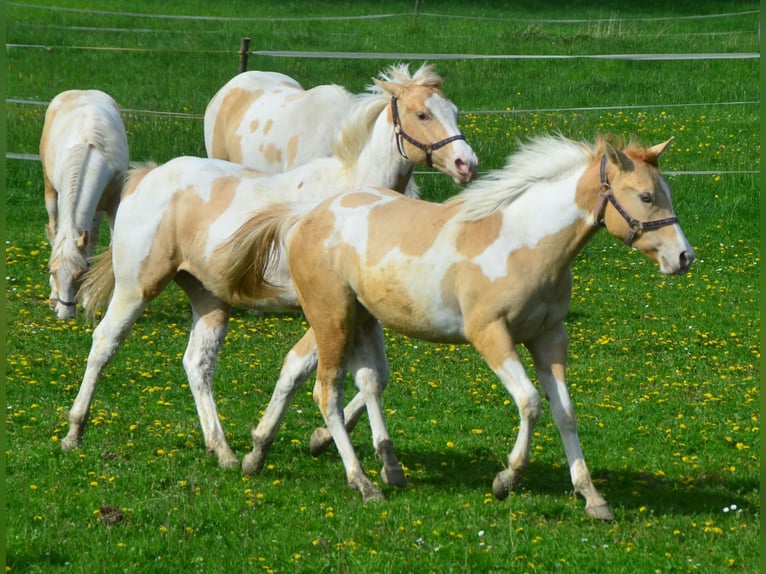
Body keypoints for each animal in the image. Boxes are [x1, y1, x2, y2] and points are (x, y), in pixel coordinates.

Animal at [40, 90, 129, 320]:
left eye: (80, 274)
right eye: (52, 271)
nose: (65, 314)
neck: (90, 150)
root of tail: (82, 91)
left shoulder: (113, 205)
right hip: (50, 190)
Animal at [63, 68, 476, 472]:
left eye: (454, 111)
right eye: (422, 114)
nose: (466, 164)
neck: (350, 199)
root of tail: (147, 176)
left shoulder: (357, 313)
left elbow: (376, 377)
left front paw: (319, 439)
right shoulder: (325, 309)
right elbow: (301, 370)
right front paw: (286, 443)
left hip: (210, 298)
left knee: (197, 364)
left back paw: (223, 451)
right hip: (136, 288)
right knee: (104, 343)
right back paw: (74, 433)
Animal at [220, 135, 696, 520]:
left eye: (666, 193)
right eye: (646, 196)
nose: (684, 257)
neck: (525, 243)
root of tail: (304, 217)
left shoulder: (549, 339)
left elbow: (565, 411)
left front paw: (592, 496)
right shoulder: (491, 336)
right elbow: (530, 403)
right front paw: (506, 479)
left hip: (354, 317)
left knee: (321, 371)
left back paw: (262, 453)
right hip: (331, 316)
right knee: (326, 392)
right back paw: (363, 482)